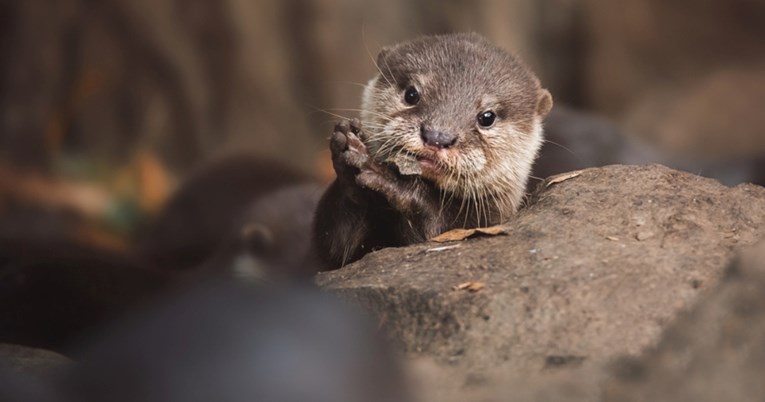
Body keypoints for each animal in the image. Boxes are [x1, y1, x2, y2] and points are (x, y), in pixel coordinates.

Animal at [314, 33, 552, 268]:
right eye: (411, 94)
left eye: (487, 117)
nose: (437, 136)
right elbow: (335, 249)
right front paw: (349, 156)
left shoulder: (489, 219)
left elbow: (439, 228)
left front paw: (390, 179)